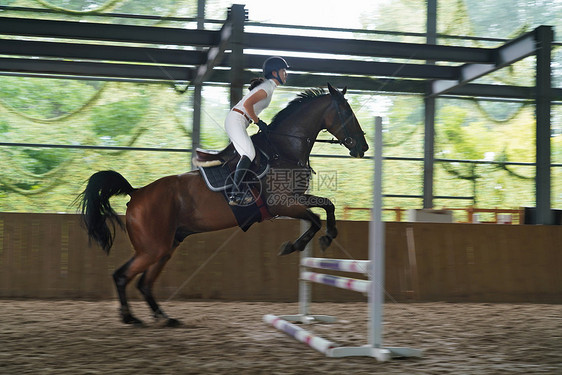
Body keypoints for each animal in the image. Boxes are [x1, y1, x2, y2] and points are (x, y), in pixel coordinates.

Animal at [77, 83, 368, 326]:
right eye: (347, 113)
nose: (363, 147)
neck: (283, 149)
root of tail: (136, 194)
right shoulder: (283, 204)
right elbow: (316, 219)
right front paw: (295, 246)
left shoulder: (295, 199)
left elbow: (327, 206)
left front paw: (326, 237)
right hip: (152, 248)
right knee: (123, 276)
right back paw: (130, 317)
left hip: (165, 246)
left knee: (145, 283)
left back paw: (164, 317)